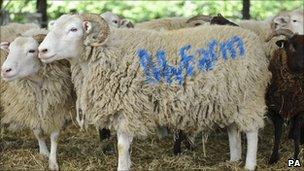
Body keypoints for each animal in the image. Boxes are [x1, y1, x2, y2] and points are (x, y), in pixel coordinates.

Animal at [0, 27, 75, 170]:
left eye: (31, 51)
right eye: (10, 50)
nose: (5, 70)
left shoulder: (58, 108)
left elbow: (54, 136)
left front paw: (52, 161)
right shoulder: (30, 108)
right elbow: (38, 132)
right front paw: (44, 153)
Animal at [37, 13, 270, 170]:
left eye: (74, 29)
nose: (42, 50)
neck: (105, 53)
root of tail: (251, 38)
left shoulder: (128, 106)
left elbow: (122, 145)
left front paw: (123, 166)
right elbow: (126, 146)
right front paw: (129, 163)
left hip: (250, 97)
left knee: (252, 132)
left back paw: (249, 164)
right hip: (230, 97)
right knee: (233, 129)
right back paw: (234, 159)